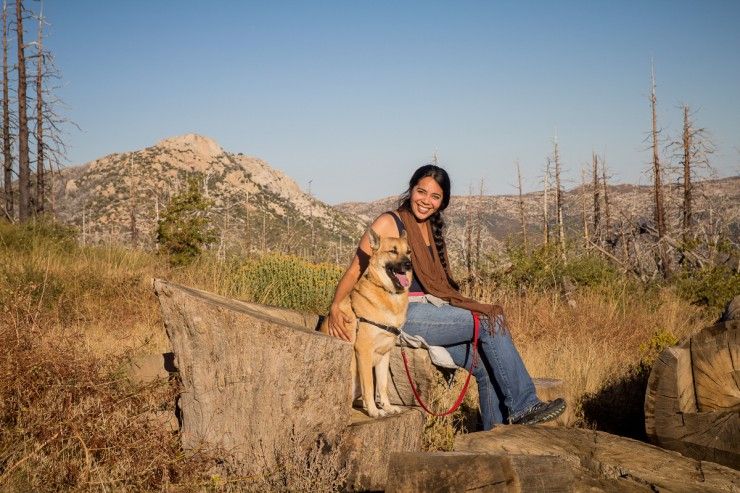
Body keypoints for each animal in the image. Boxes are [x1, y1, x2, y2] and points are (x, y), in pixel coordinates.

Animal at [320, 227, 414, 416]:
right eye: (393, 251)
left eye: (408, 252)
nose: (408, 265)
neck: (389, 294)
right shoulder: (363, 351)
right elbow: (370, 386)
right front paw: (374, 411)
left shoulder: (384, 354)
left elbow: (383, 385)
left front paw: (387, 406)